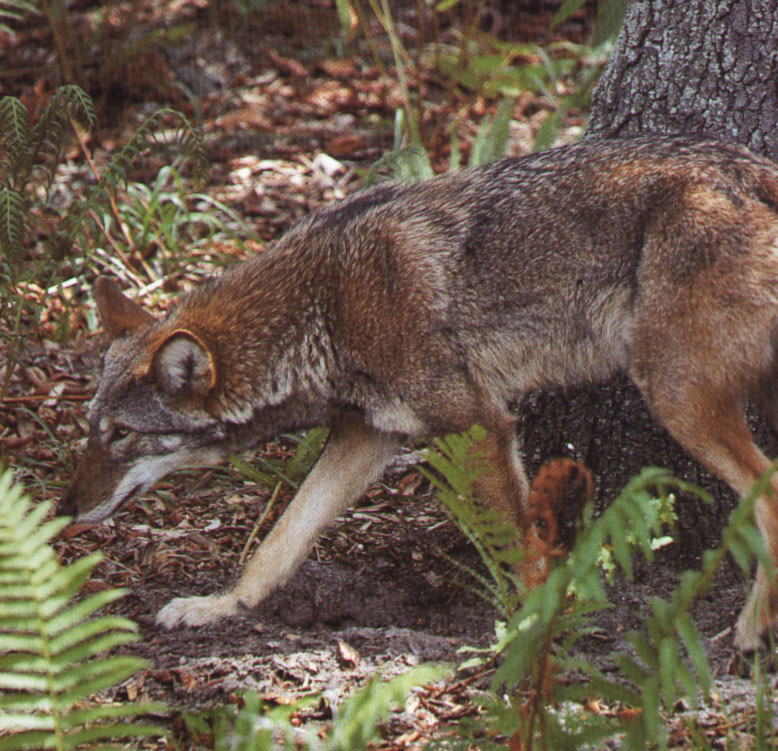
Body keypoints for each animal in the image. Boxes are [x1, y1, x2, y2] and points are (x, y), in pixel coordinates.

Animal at [60, 134, 778, 652]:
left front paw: (529, 633)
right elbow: (279, 542)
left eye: (121, 435)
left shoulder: (479, 423)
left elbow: (520, 545)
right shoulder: (367, 436)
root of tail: (753, 168)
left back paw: (749, 632)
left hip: (675, 396)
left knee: (767, 491)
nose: (65, 509)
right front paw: (219, 607)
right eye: (91, 428)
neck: (320, 308)